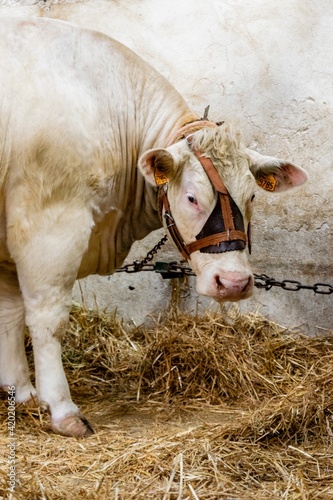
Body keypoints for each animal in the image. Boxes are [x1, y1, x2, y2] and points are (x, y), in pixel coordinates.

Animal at [0, 17, 306, 436]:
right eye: (191, 197)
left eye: (253, 196)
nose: (233, 283)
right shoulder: (48, 225)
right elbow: (47, 319)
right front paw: (62, 409)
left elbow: (10, 314)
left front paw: (21, 392)